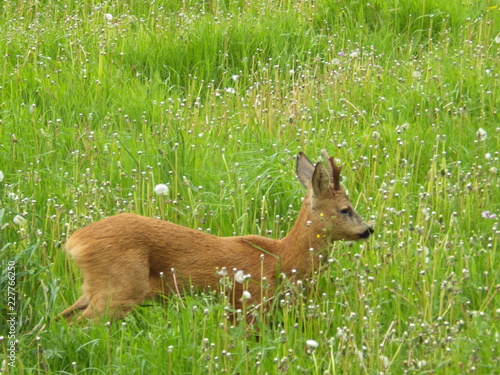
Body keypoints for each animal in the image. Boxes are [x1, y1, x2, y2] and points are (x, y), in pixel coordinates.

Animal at [59, 151, 372, 324]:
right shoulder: (248, 307)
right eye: (346, 209)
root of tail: (74, 243)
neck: (283, 260)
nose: (368, 229)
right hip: (120, 289)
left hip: (95, 289)